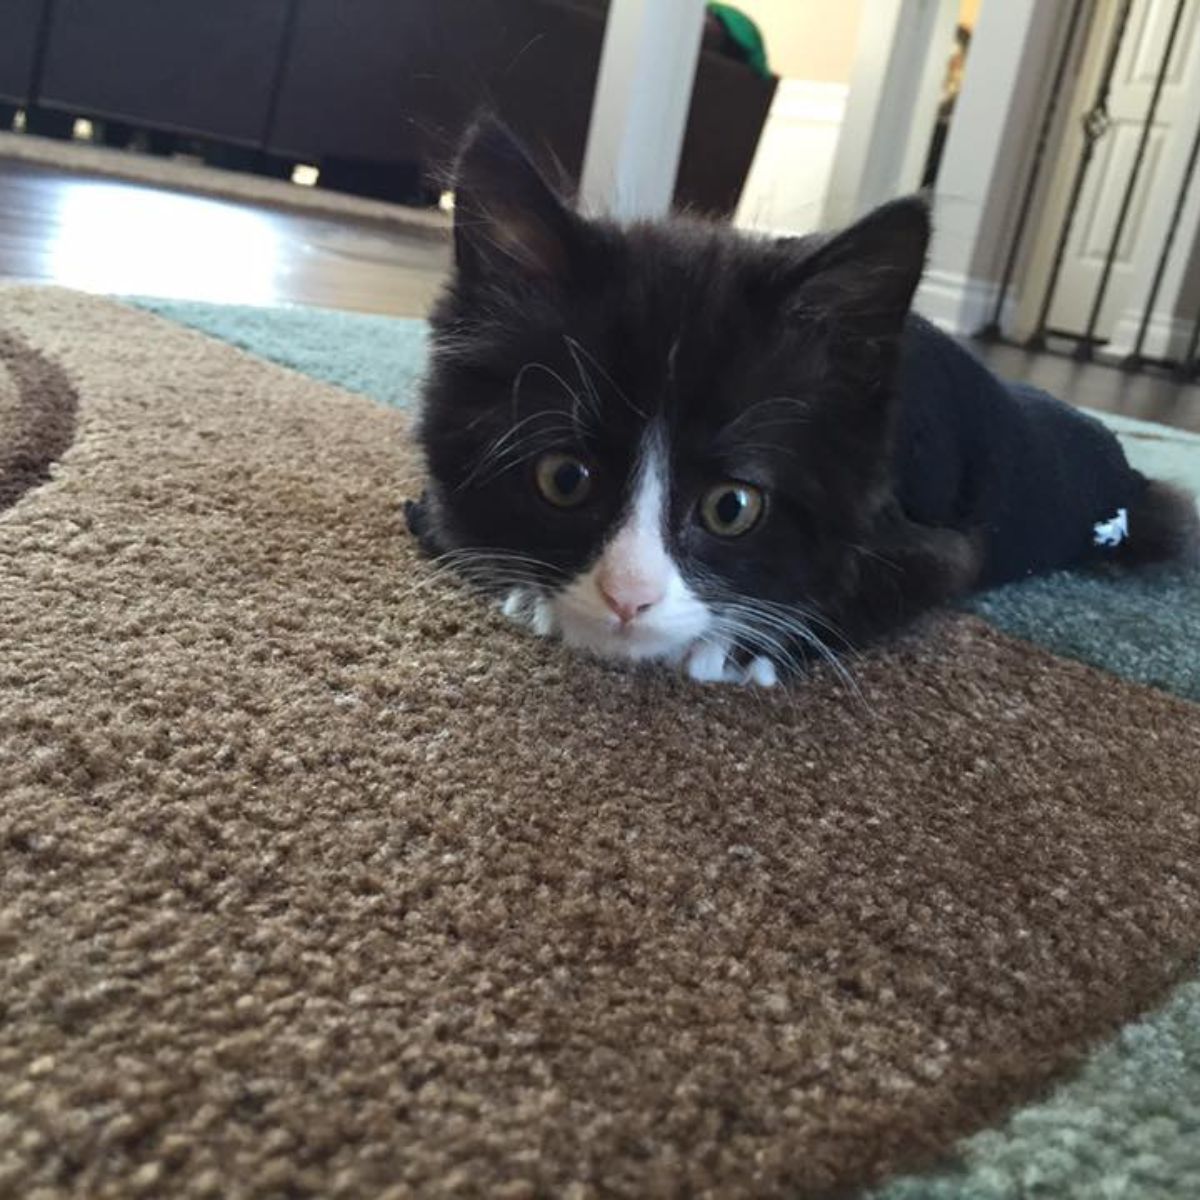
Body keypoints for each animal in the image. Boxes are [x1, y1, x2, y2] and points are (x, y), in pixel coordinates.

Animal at [405, 120, 1200, 691]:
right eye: (564, 478)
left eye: (732, 507)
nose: (628, 599)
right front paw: (527, 588)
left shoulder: (947, 542)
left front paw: (738, 648)